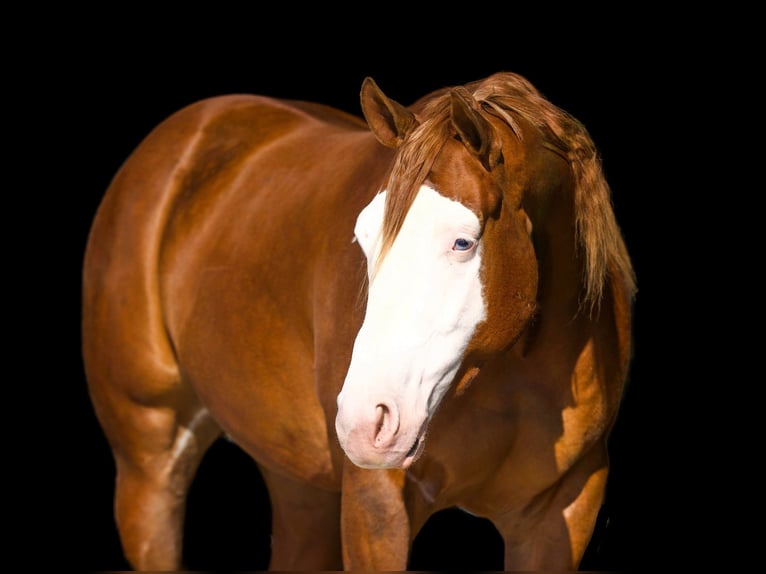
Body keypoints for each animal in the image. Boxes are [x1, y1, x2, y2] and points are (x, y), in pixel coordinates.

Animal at [81, 73, 640, 572]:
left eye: (462, 241)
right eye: (365, 235)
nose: (363, 421)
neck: (509, 376)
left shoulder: (560, 512)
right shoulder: (376, 504)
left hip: (299, 487)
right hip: (150, 466)